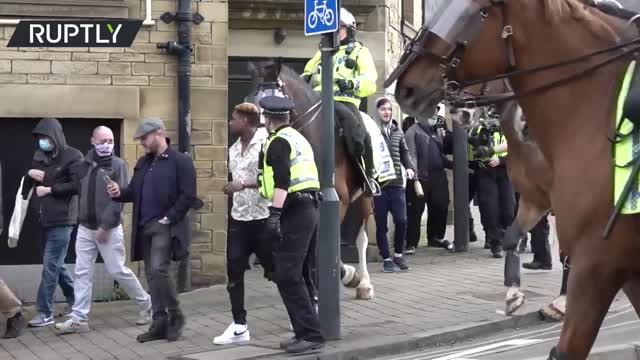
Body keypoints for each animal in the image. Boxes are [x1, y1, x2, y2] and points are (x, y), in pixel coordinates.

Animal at [245, 59, 376, 300]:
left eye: (267, 102)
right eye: (249, 100)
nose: (255, 142)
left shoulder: (338, 201)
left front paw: (346, 276)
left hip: (365, 196)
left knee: (361, 238)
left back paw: (364, 284)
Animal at [384, 1, 640, 358]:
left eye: (470, 13)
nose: (406, 87)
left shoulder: (598, 256)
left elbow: (563, 258)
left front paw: (556, 301)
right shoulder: (535, 200)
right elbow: (511, 236)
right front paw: (514, 294)